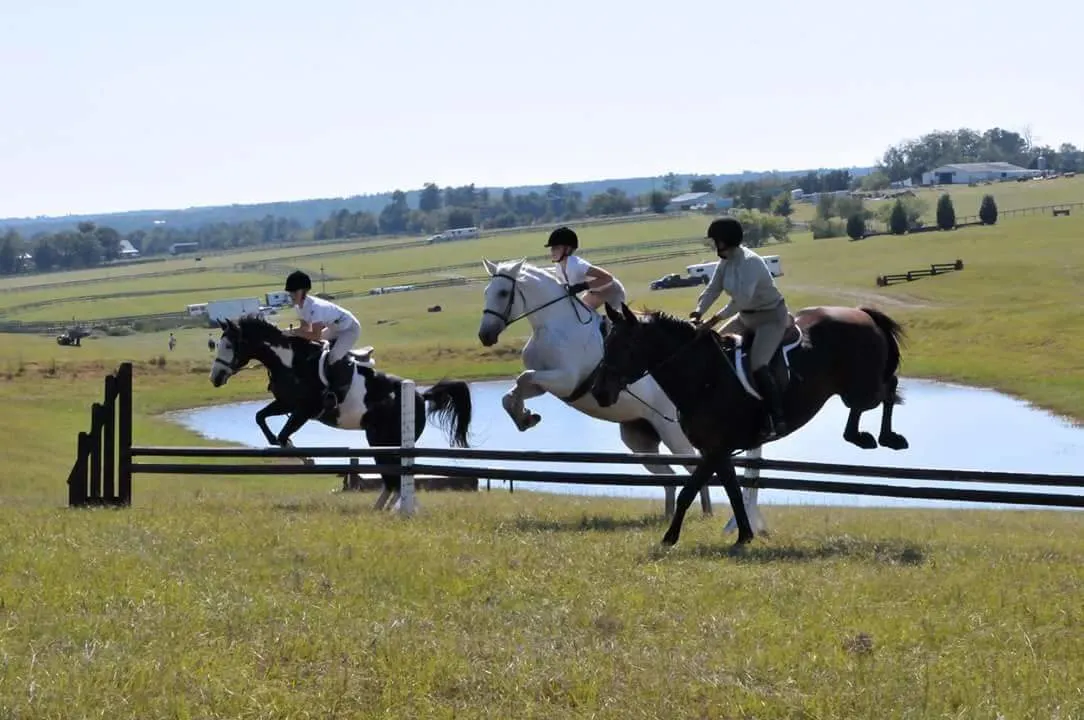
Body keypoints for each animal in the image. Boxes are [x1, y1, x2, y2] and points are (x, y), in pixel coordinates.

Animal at [209, 314, 474, 511]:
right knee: (392, 479)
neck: (289, 361)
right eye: (216, 345)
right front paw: (285, 446)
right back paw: (379, 510)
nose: (215, 378)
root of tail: (419, 395)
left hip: (385, 441)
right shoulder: (285, 403)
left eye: (230, 345)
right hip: (381, 442)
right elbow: (261, 418)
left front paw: (305, 457)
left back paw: (393, 510)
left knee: (395, 478)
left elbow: (283, 434)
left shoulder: (305, 409)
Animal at [476, 258, 713, 518]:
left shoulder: (566, 380)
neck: (551, 325)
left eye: (503, 292)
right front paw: (524, 418)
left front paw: (524, 416)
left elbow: (524, 378)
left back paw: (706, 513)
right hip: (639, 439)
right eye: (486, 292)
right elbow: (516, 389)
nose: (485, 335)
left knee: (692, 466)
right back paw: (669, 514)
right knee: (668, 476)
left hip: (671, 431)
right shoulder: (546, 384)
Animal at [592, 302, 909, 549]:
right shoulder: (717, 451)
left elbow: (687, 491)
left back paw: (883, 438)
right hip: (854, 387)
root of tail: (861, 312)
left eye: (627, 346)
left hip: (860, 387)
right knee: (880, 394)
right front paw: (744, 536)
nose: (599, 392)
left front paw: (669, 538)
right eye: (605, 344)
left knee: (886, 390)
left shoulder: (715, 449)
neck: (704, 378)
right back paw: (871, 437)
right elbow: (733, 492)